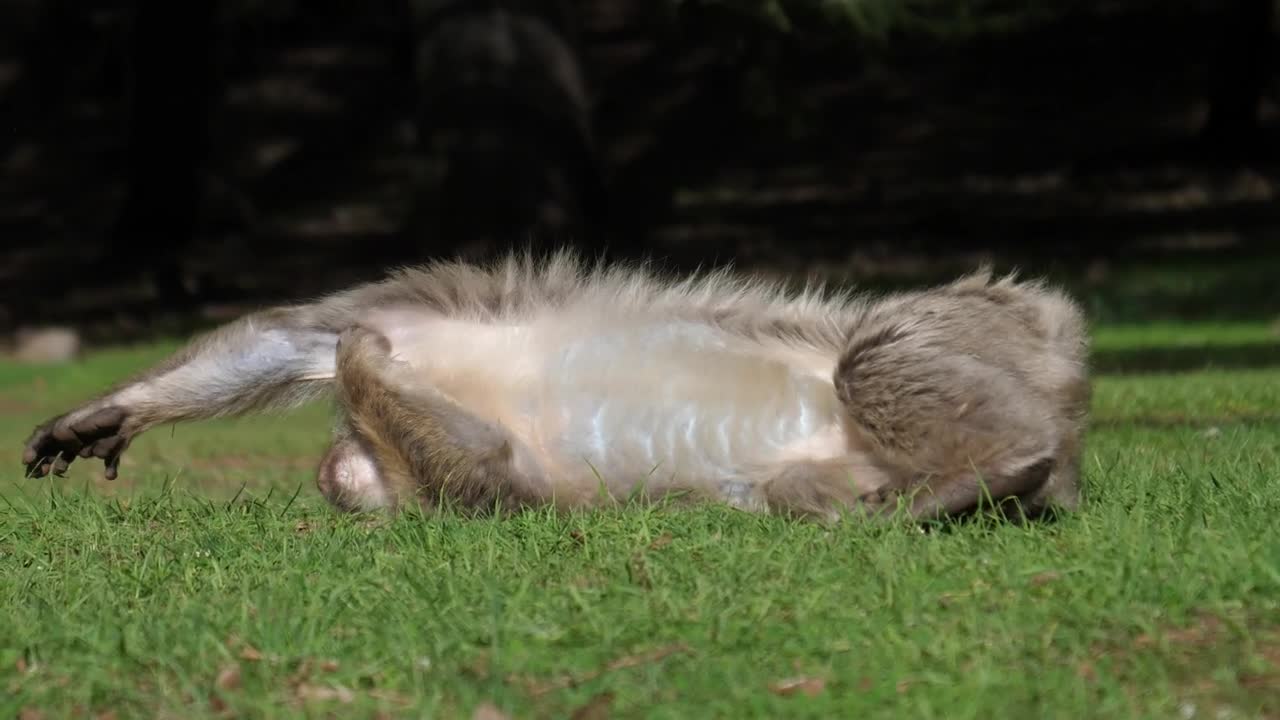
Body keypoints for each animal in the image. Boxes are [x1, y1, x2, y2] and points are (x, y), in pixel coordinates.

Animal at [20, 251, 1091, 523]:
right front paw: (106, 414)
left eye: (339, 471)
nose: (335, 471)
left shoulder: (424, 304)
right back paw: (977, 482)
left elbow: (325, 339)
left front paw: (363, 360)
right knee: (795, 491)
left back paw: (999, 461)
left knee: (866, 354)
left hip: (991, 323)